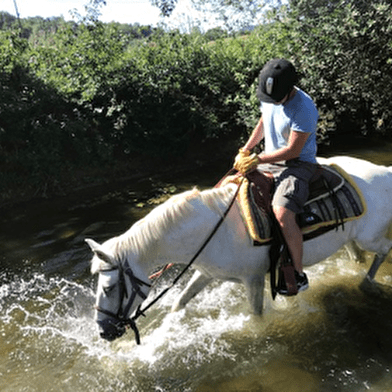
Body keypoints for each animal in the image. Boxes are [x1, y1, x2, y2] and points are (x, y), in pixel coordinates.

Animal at [87, 155, 392, 340]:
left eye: (109, 288)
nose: (103, 332)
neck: (213, 230)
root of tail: (385, 172)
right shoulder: (205, 273)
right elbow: (179, 302)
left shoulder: (254, 280)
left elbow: (256, 317)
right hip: (349, 239)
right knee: (357, 255)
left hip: (370, 236)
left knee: (383, 250)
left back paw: (366, 284)